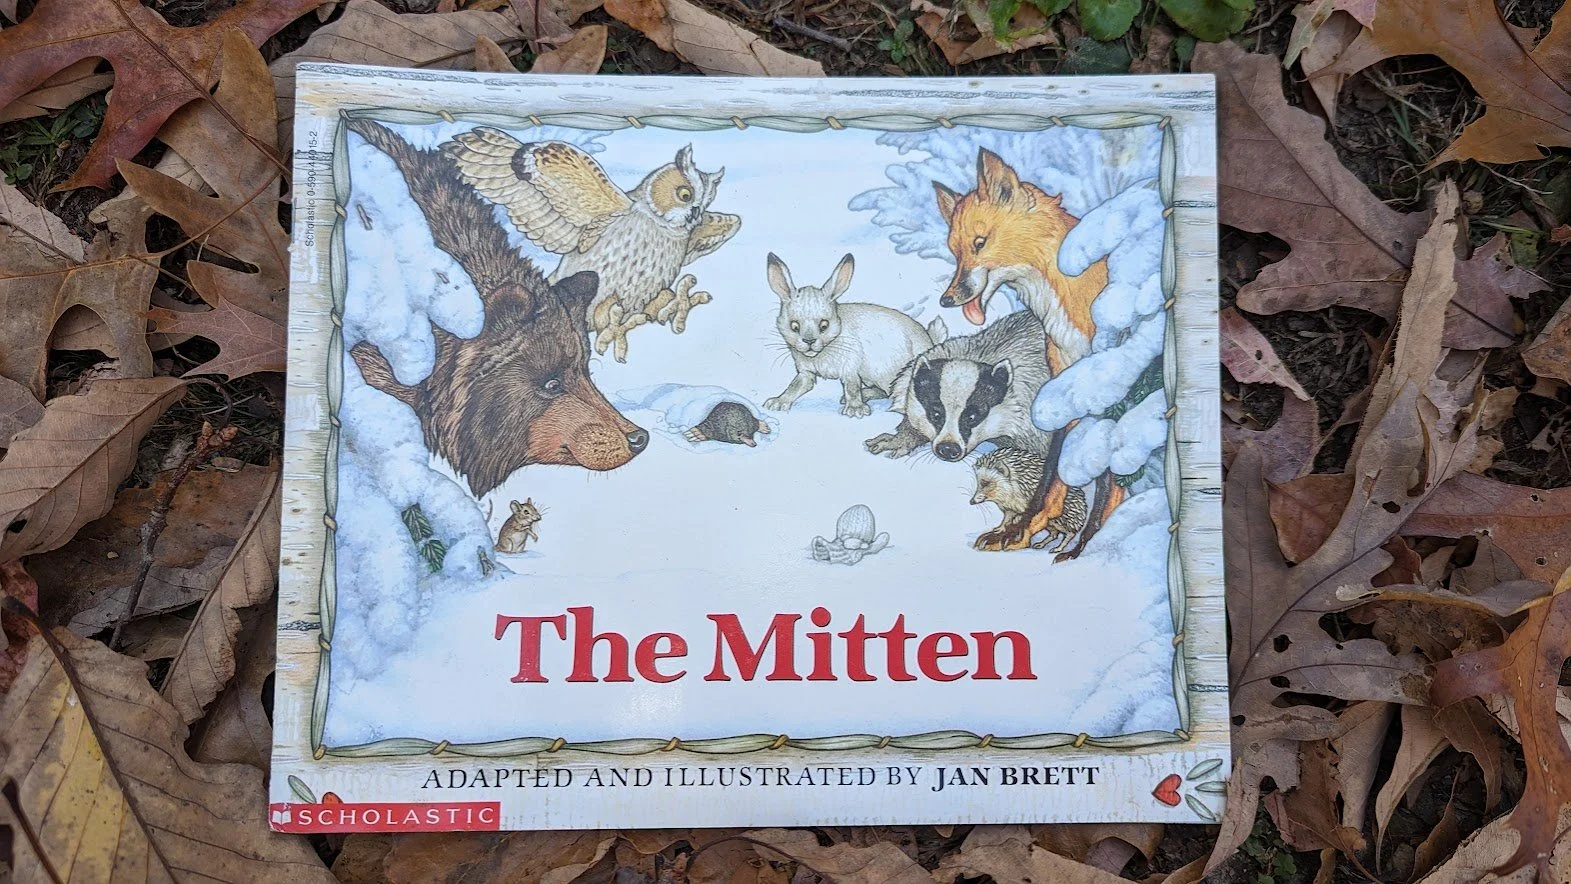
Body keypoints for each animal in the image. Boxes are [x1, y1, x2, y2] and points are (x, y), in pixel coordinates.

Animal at [932, 148, 1121, 561]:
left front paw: (1082, 544)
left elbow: (1107, 479)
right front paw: (1020, 531)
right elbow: (1053, 476)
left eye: (980, 243)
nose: (947, 300)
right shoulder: (1066, 388)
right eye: (954, 252)